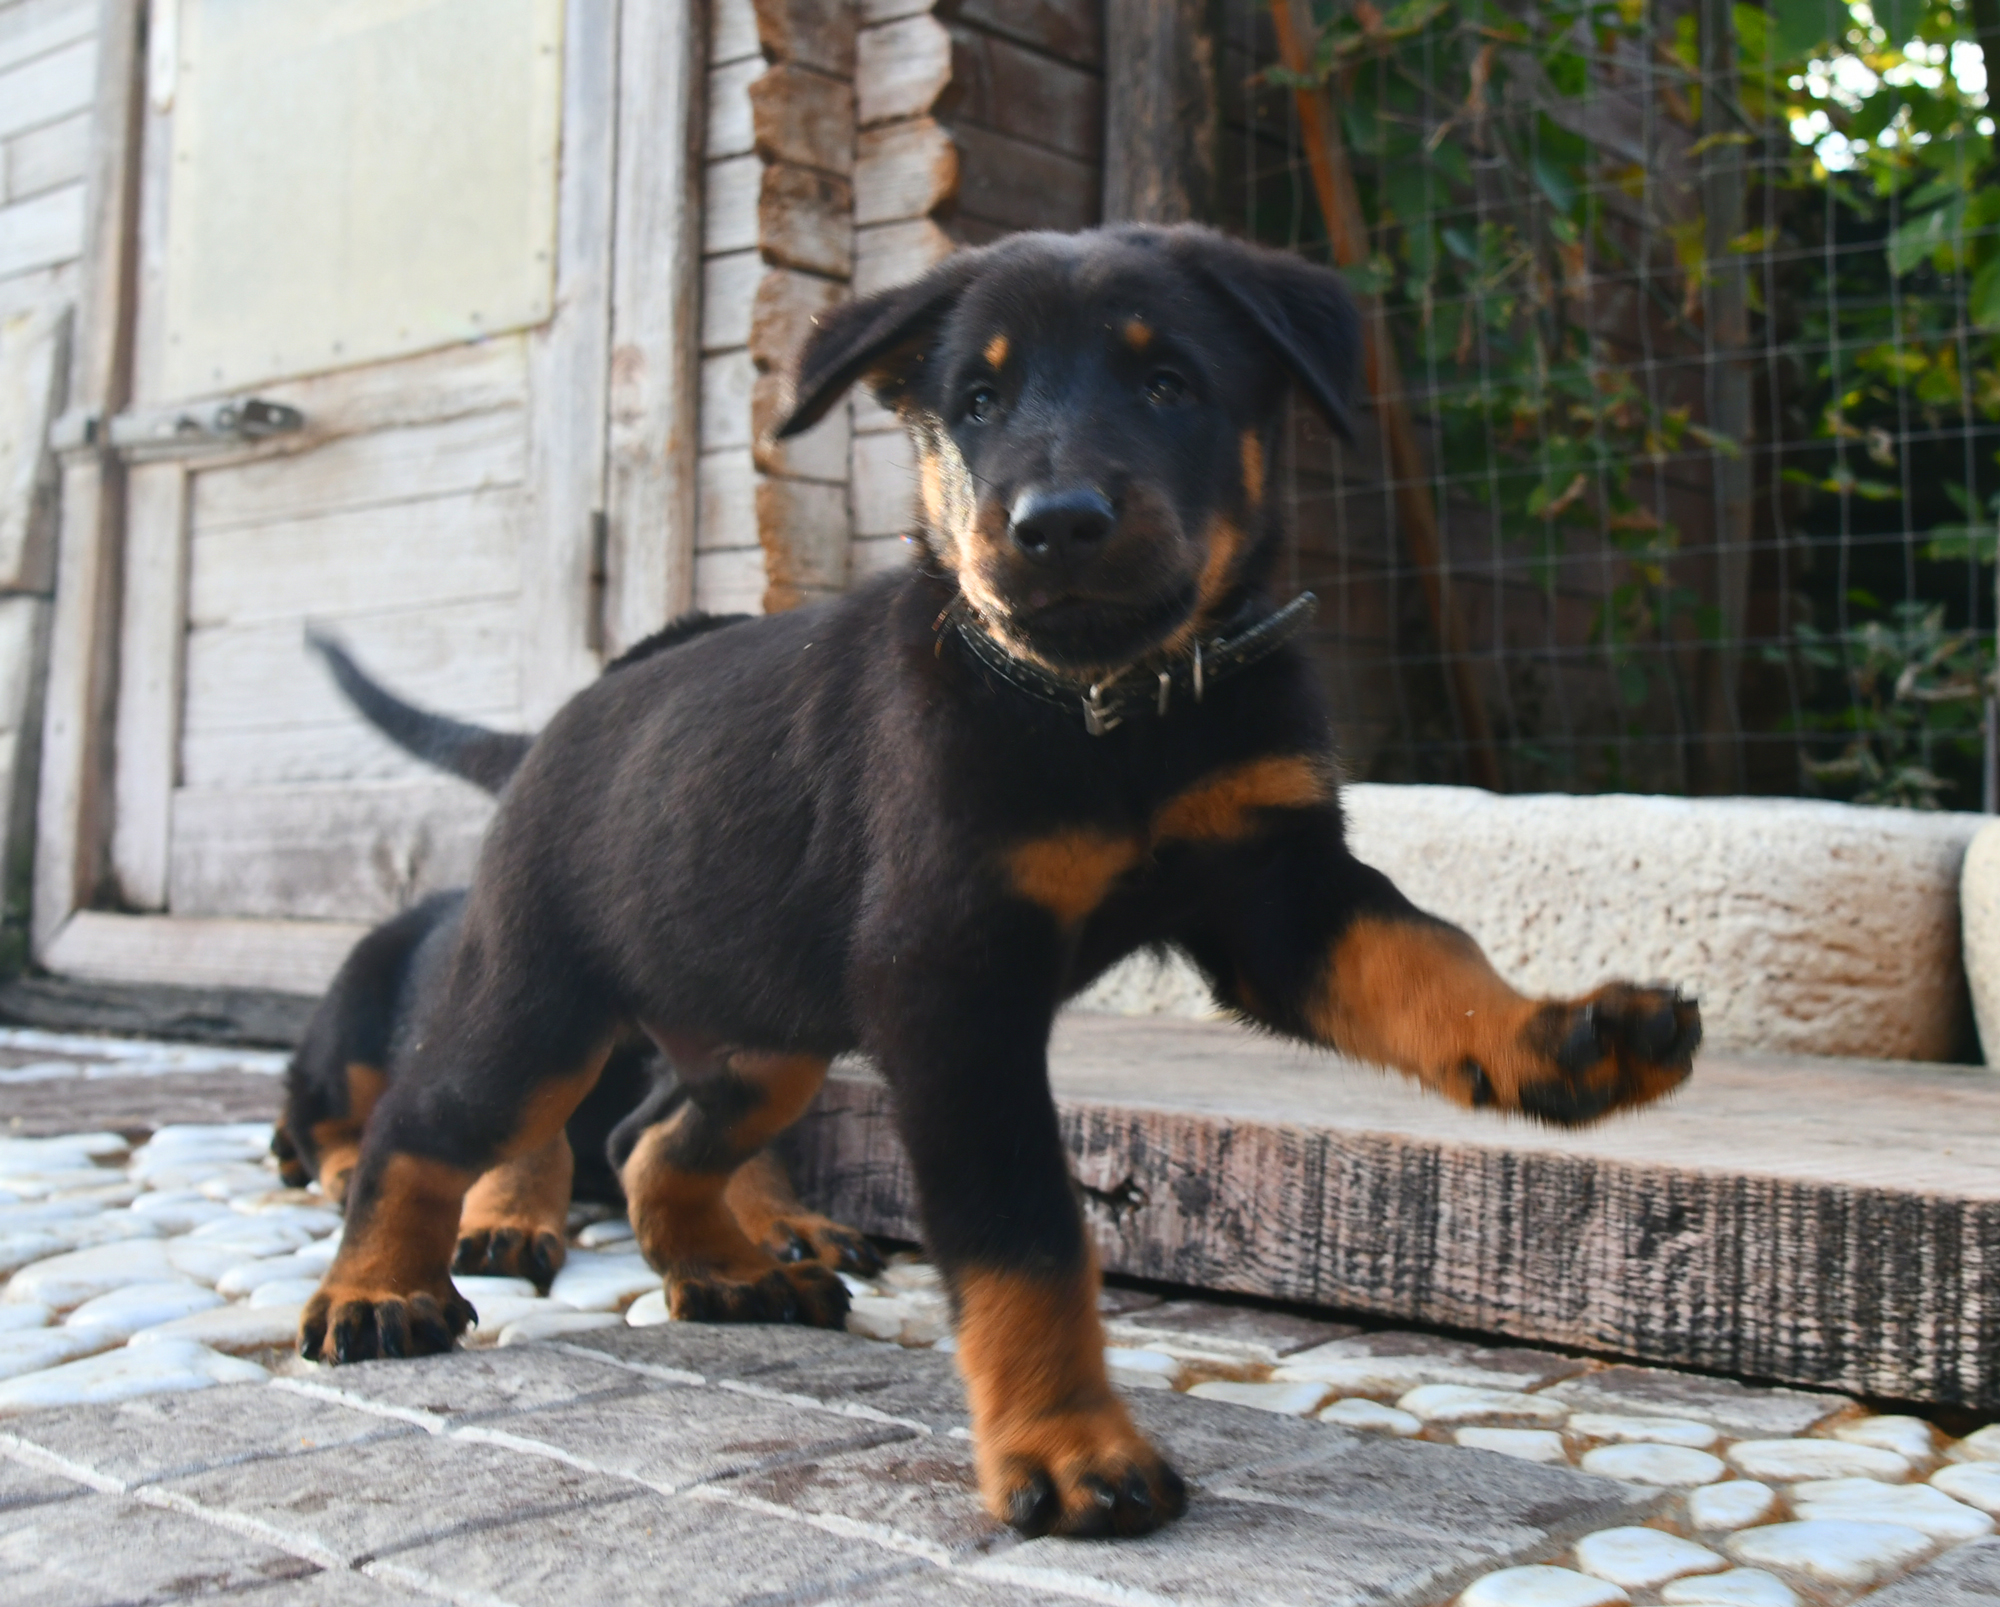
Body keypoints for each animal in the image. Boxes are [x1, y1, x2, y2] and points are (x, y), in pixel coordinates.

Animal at [273, 617, 881, 1296]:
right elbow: (537, 1136)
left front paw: (787, 1219)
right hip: (352, 1030)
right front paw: (507, 1218)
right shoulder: (534, 1019)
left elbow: (737, 1148)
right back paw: (334, 1161)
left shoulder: (750, 1045)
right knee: (317, 1107)